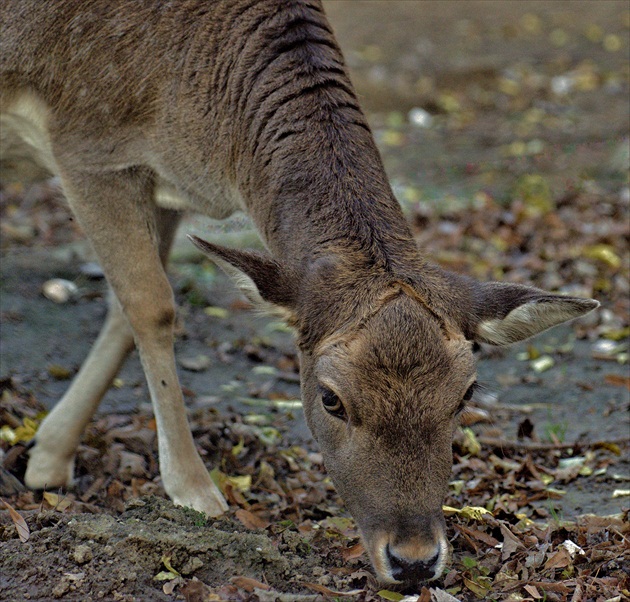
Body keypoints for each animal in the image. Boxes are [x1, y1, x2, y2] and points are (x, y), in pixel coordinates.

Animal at [0, 0, 600, 584]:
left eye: (466, 394)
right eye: (331, 398)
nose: (414, 560)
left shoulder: (160, 182)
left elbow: (126, 310)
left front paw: (46, 458)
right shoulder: (88, 147)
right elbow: (153, 305)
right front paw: (195, 493)